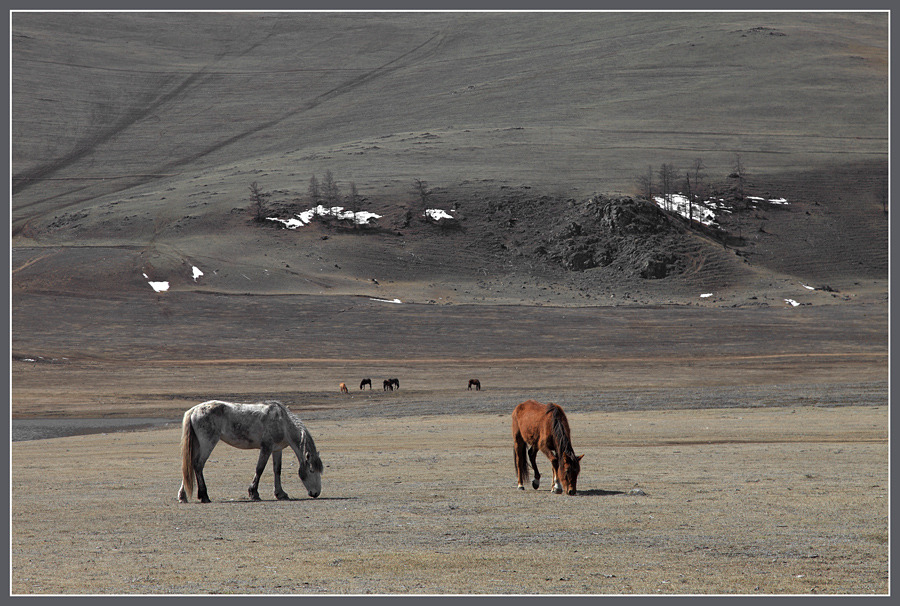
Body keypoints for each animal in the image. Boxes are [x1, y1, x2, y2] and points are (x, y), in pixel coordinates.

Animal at [177, 402, 324, 506]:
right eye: (311, 470)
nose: (316, 493)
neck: (282, 422)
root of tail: (193, 410)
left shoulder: (277, 450)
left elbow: (277, 470)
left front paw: (280, 494)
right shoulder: (266, 448)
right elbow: (259, 469)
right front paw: (254, 493)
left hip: (197, 444)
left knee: (189, 466)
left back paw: (183, 496)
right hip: (207, 443)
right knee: (198, 465)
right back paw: (204, 496)